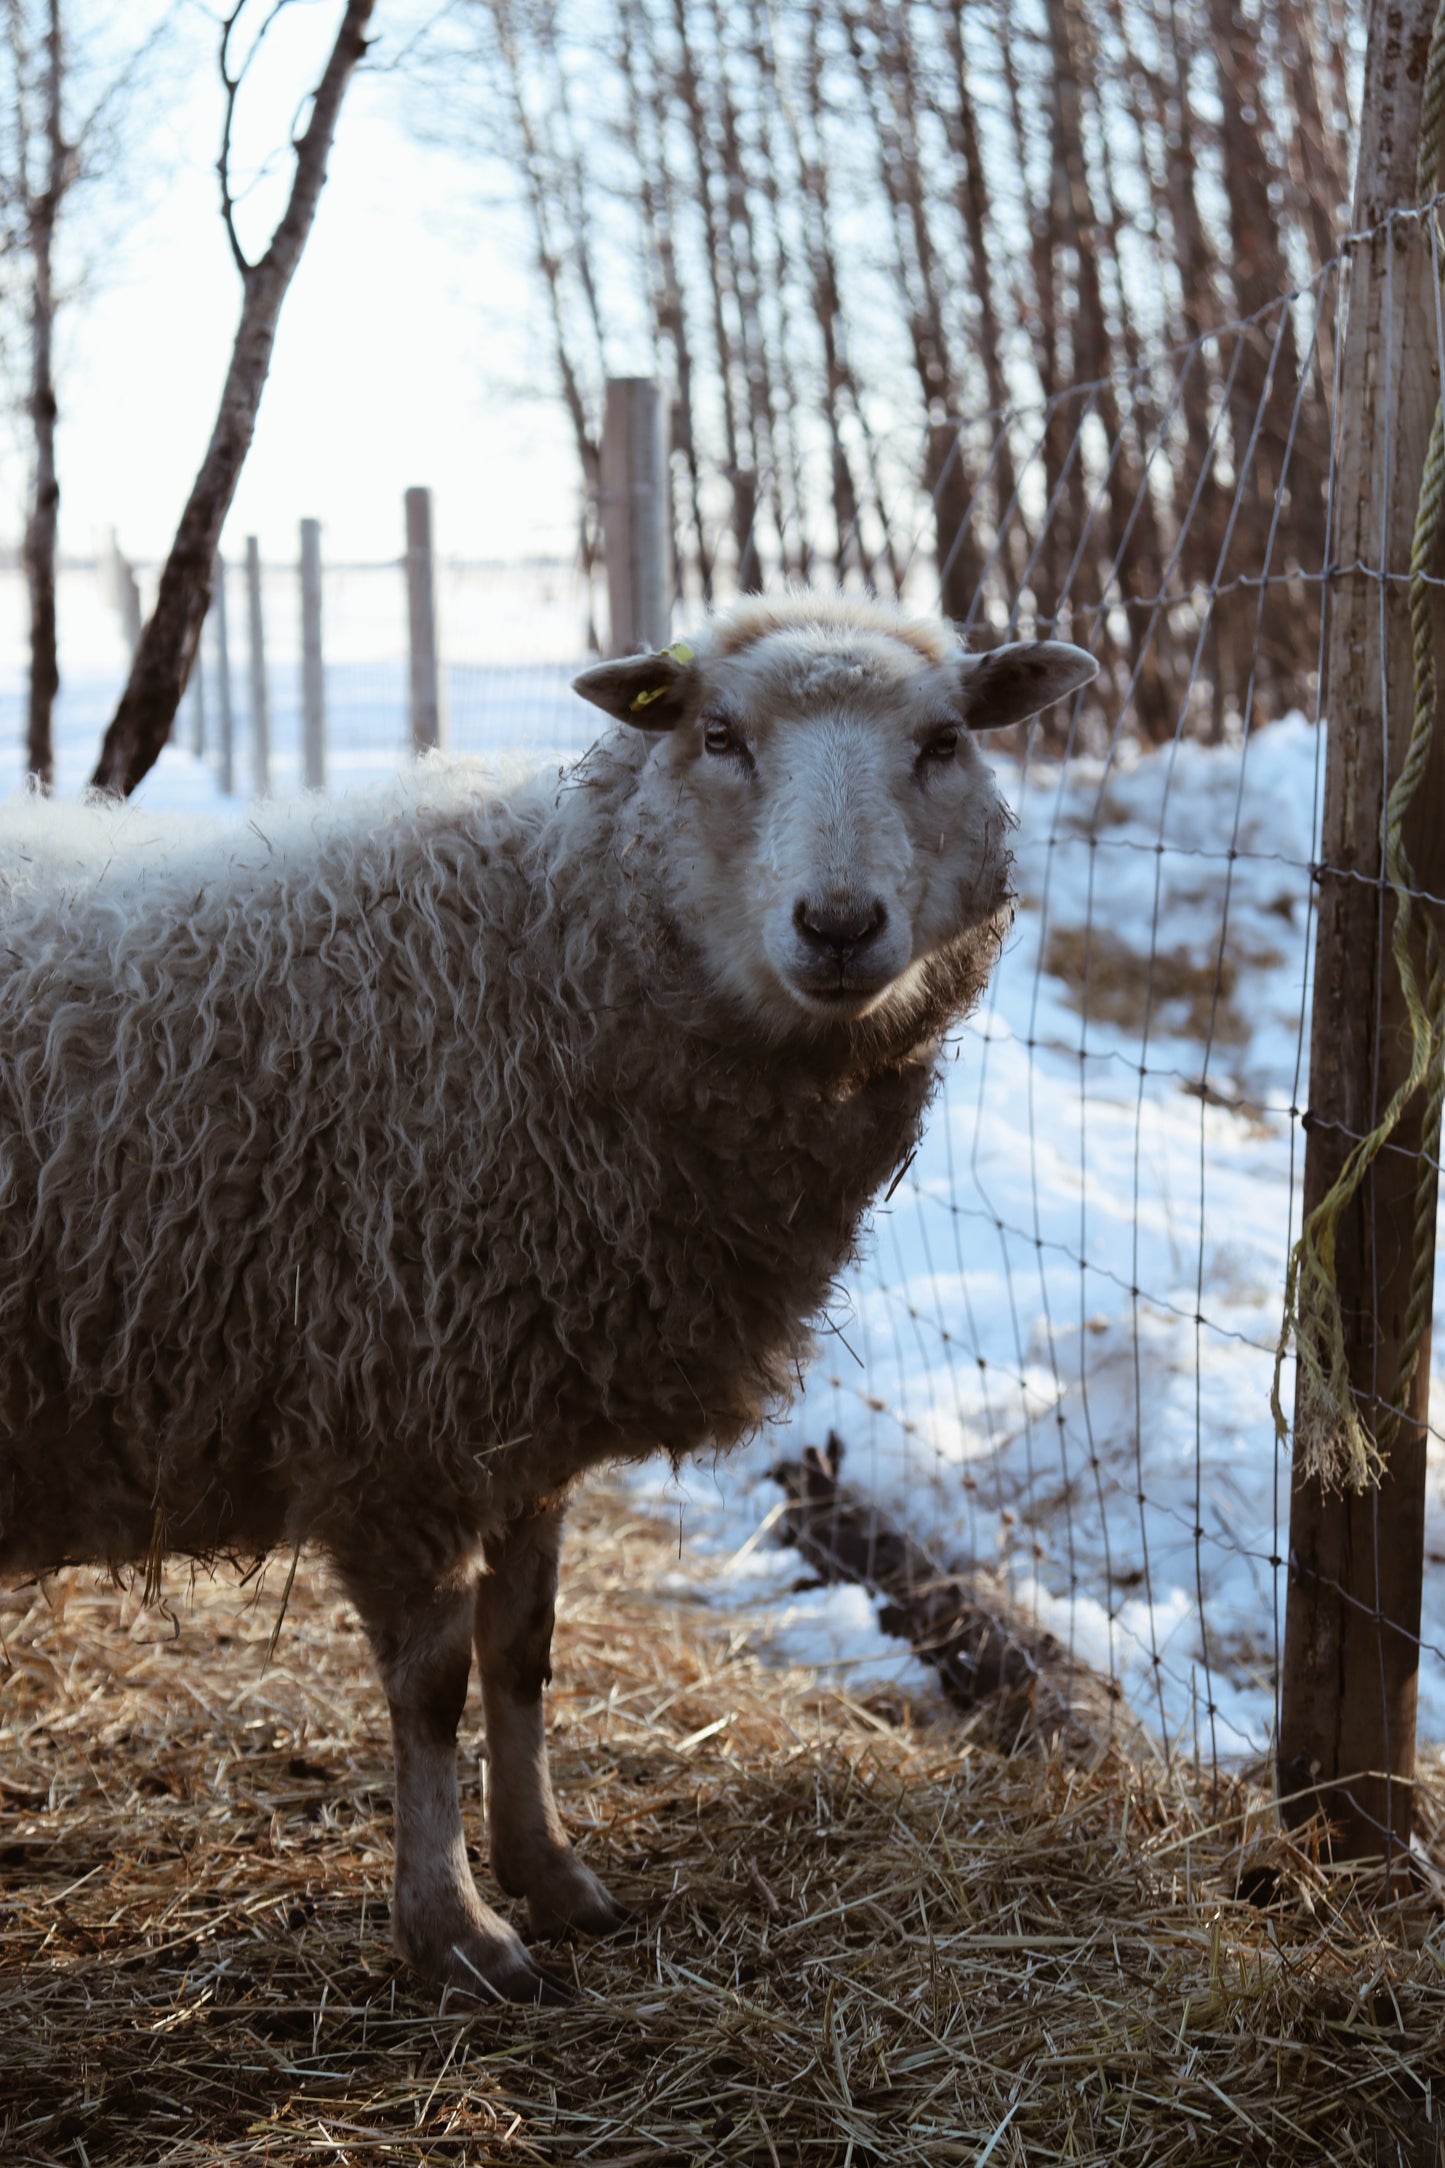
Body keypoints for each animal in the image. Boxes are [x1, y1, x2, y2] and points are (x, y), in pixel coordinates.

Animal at [0, 589, 1091, 1994]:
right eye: (717, 734)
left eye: (943, 740)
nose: (840, 925)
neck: (537, 957)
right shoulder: (397, 1416)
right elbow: (431, 1688)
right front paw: (455, 1928)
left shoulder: (524, 1412)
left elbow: (523, 1653)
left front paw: (551, 1869)